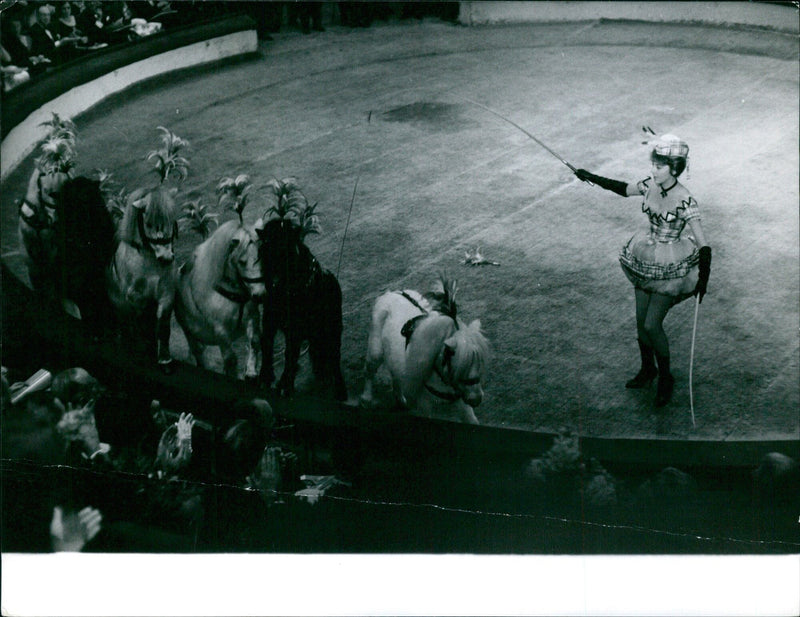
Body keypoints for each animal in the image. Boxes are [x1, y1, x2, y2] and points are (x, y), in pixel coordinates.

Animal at [104, 183, 180, 366]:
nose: (166, 258)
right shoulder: (135, 297)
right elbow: (140, 323)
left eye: (171, 219)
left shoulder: (167, 294)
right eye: (149, 223)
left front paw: (164, 358)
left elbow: (162, 325)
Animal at [175, 219, 266, 378]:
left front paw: (251, 372)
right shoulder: (221, 331)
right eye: (242, 261)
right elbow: (230, 359)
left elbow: (254, 341)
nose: (260, 294)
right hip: (188, 330)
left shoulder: (252, 317)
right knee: (197, 350)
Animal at [255, 219, 346, 402]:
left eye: (285, 245)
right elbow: (267, 346)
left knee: (334, 358)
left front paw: (285, 386)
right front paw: (265, 378)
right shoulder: (269, 321)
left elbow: (289, 355)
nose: (271, 280)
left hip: (333, 331)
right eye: (265, 245)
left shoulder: (295, 329)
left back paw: (340, 390)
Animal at [360, 276, 488, 422]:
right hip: (376, 350)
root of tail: (392, 293)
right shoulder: (424, 402)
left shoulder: (460, 398)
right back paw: (366, 399)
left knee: (396, 374)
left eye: (479, 362)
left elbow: (471, 419)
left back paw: (401, 401)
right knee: (370, 370)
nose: (476, 399)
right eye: (458, 366)